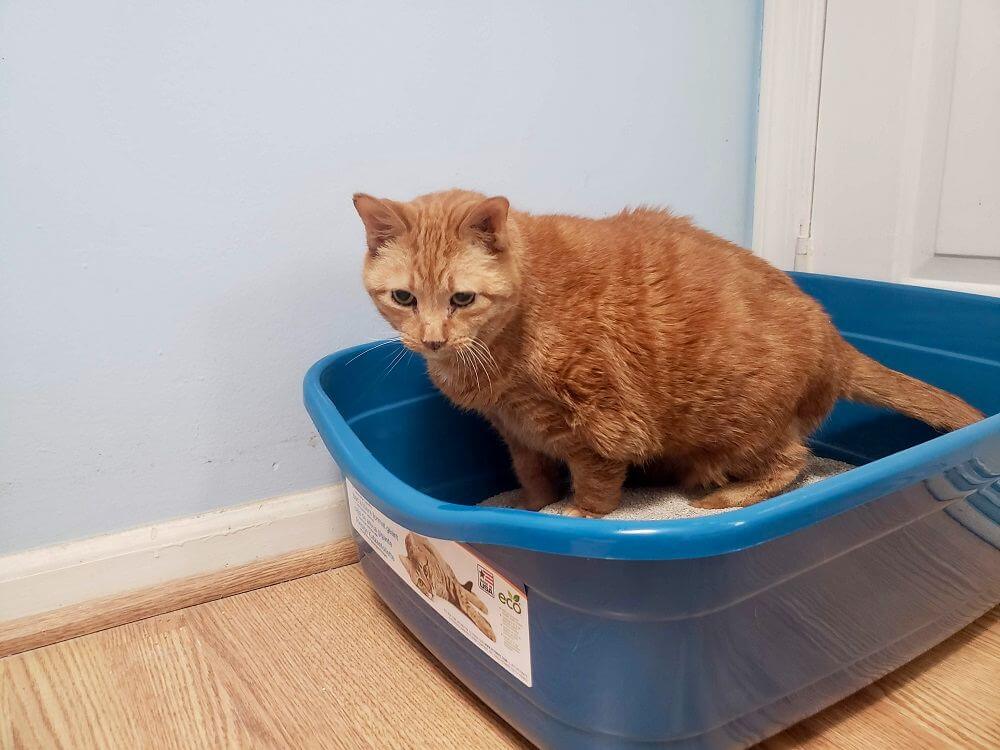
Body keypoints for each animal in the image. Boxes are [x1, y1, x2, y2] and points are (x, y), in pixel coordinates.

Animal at [354, 191, 984, 516]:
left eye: (462, 298)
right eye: (404, 298)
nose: (432, 339)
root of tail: (834, 336)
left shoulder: (598, 423)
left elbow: (594, 486)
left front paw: (576, 517)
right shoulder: (516, 431)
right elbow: (532, 476)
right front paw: (530, 507)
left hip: (742, 429)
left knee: (794, 461)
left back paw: (730, 497)